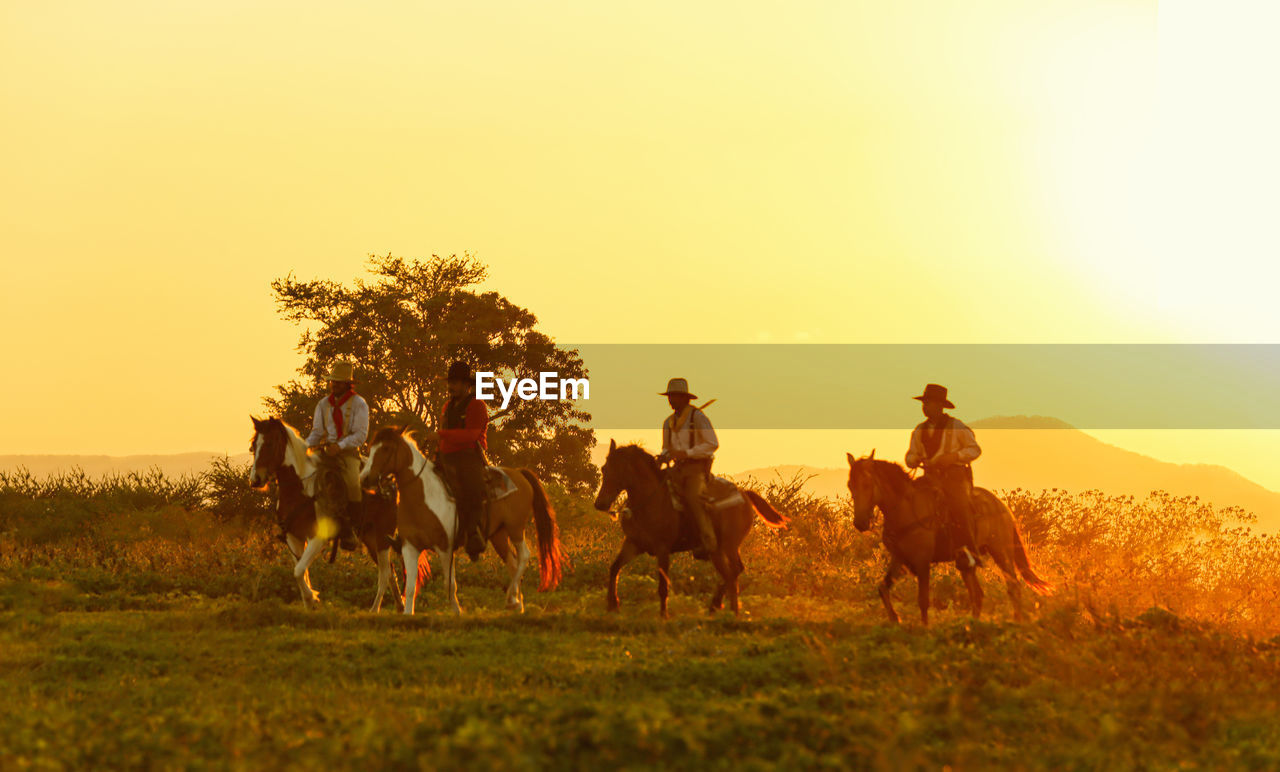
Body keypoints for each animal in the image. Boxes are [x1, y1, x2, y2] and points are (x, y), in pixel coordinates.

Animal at [245, 419, 401, 611]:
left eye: (269, 444)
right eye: (254, 445)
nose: (255, 480)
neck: (300, 490)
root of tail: (390, 484)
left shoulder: (317, 539)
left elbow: (299, 571)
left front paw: (313, 598)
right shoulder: (293, 539)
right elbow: (301, 572)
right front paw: (309, 603)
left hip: (382, 539)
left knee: (385, 574)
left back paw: (375, 609)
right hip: (370, 539)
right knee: (391, 571)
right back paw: (401, 606)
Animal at [358, 430, 563, 617]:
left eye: (385, 448)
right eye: (371, 448)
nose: (364, 478)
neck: (423, 496)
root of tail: (519, 473)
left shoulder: (445, 547)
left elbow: (450, 584)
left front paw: (457, 611)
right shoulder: (410, 546)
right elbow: (409, 586)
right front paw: (408, 613)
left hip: (515, 528)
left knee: (524, 556)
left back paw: (513, 600)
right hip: (499, 535)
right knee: (512, 563)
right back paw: (515, 603)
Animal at [591, 442, 788, 619]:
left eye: (618, 470)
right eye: (604, 469)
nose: (600, 504)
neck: (649, 501)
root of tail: (744, 494)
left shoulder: (663, 549)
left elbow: (663, 585)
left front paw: (663, 615)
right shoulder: (633, 544)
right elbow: (614, 568)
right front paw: (612, 605)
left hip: (728, 546)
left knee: (733, 572)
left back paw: (729, 610)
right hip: (720, 551)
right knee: (732, 572)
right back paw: (716, 606)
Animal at [839, 450, 1049, 624]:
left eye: (867, 484)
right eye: (850, 485)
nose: (860, 523)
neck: (905, 509)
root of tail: (1002, 506)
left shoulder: (922, 561)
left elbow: (923, 600)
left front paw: (924, 628)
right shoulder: (899, 559)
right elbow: (883, 588)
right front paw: (894, 618)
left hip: (1001, 552)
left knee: (1013, 586)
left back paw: (1016, 621)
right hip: (967, 562)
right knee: (977, 594)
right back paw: (973, 624)